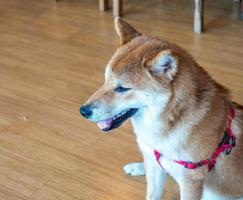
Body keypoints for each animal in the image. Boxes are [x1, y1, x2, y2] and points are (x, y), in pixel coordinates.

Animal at [80, 17, 243, 200]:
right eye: (106, 79)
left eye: (122, 88)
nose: (83, 111)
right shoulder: (154, 161)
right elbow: (152, 193)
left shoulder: (191, 181)